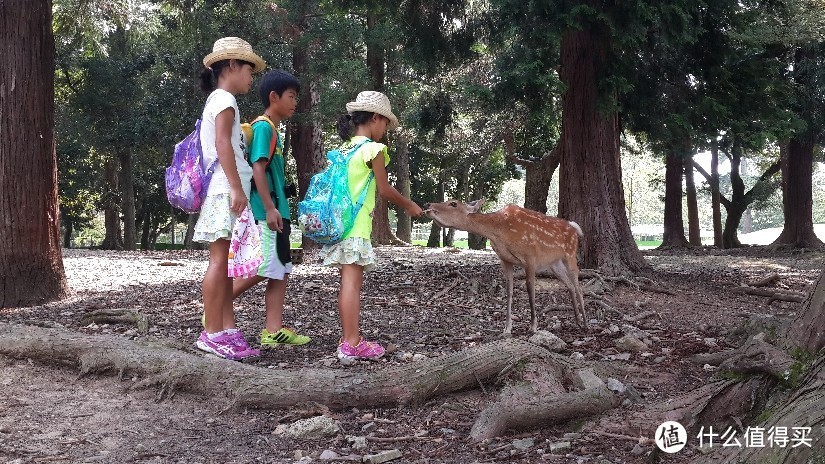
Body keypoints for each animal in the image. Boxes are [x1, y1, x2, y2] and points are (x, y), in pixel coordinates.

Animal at [424, 199, 584, 334]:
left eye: (453, 203)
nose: (428, 204)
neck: (500, 231)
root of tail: (574, 228)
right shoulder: (505, 260)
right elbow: (509, 291)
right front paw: (507, 329)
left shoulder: (530, 256)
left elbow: (530, 289)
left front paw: (533, 326)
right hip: (554, 264)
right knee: (570, 285)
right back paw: (577, 320)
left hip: (570, 254)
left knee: (577, 284)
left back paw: (585, 322)